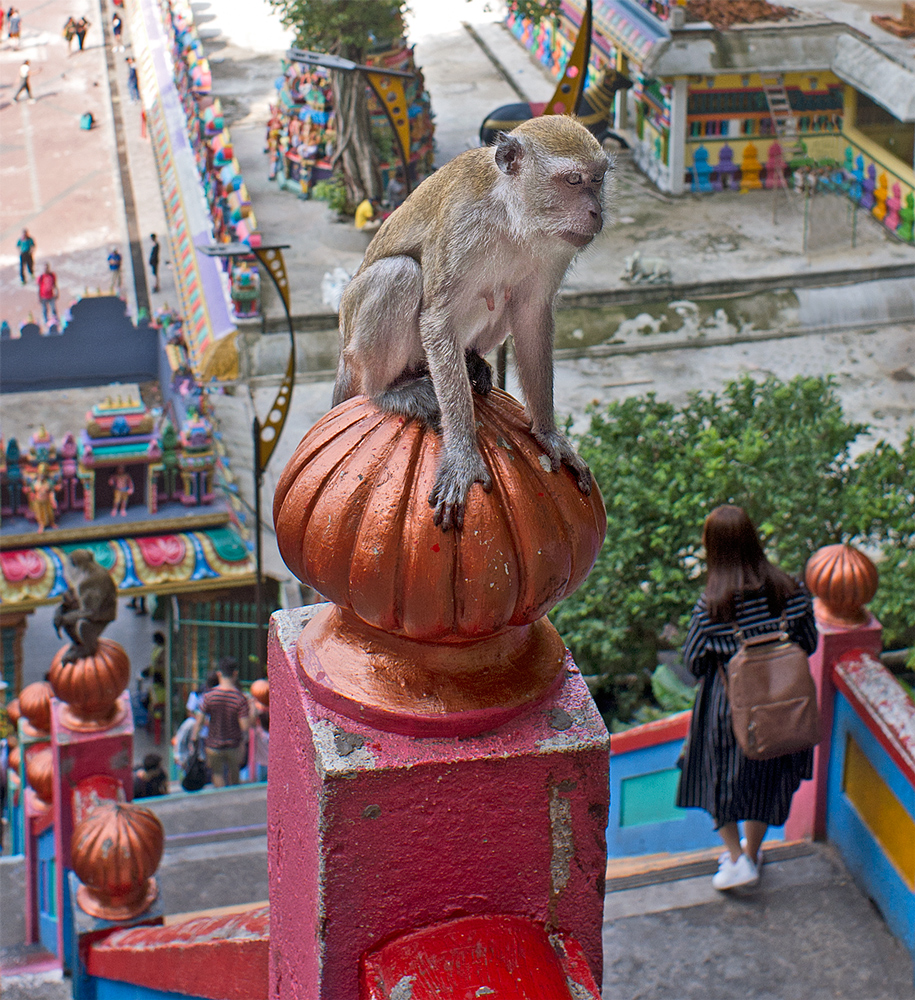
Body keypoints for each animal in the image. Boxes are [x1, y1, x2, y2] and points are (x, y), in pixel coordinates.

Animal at [334, 115, 608, 532]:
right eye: (573, 180)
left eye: (598, 179)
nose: (597, 213)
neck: (511, 216)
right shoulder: (464, 228)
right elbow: (437, 320)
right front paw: (463, 455)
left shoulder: (556, 246)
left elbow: (532, 314)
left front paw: (549, 435)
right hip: (355, 340)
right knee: (399, 274)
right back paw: (386, 391)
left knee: (504, 296)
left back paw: (473, 361)